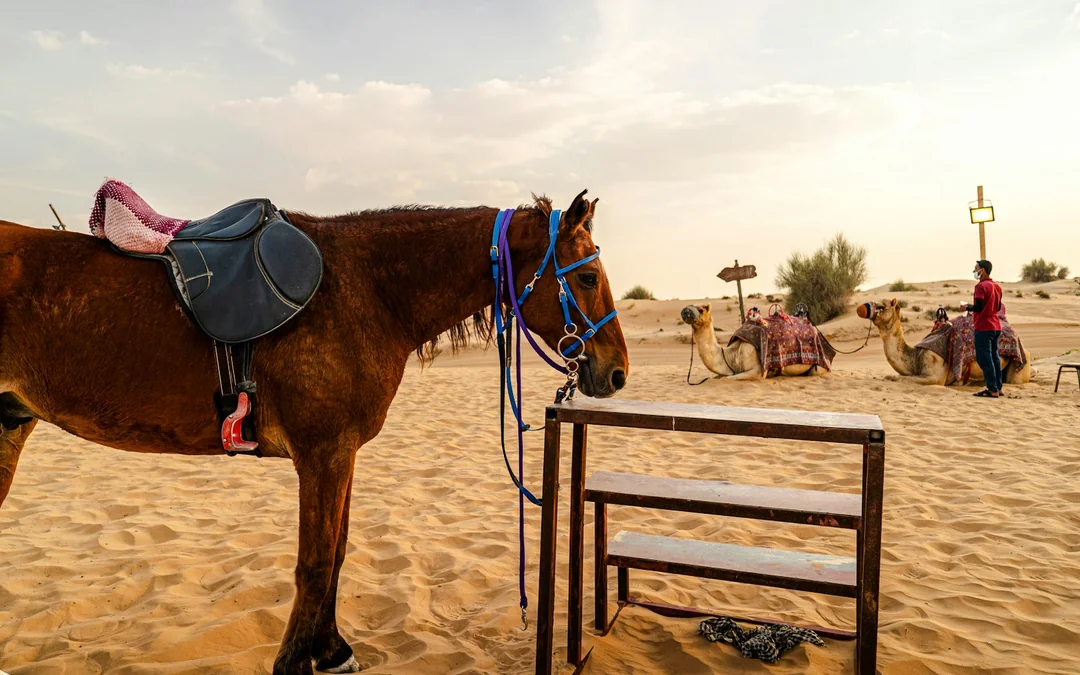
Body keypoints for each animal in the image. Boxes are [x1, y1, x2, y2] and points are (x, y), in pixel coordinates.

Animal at [680, 304, 826, 380]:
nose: (685, 310)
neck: (732, 355)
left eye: (701, 310)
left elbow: (729, 378)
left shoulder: (757, 371)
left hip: (819, 367)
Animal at [869, 298, 1033, 386]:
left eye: (882, 306)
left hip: (1020, 362)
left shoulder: (935, 376)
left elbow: (899, 378)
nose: (870, 306)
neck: (914, 357)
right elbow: (892, 376)